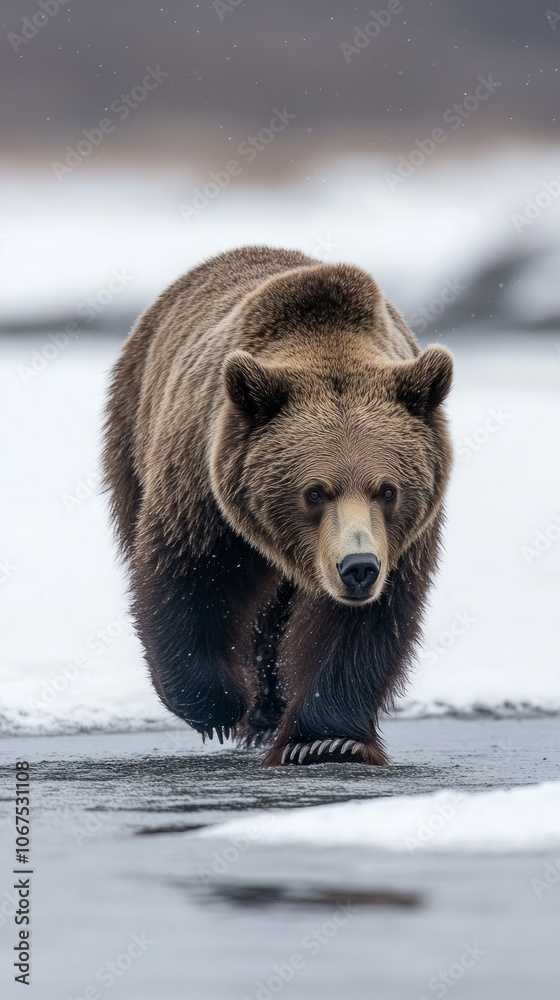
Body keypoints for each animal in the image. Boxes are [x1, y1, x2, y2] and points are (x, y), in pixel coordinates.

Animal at [103, 246, 453, 766]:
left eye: (387, 489)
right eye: (315, 491)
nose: (358, 567)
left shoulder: (400, 541)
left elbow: (363, 627)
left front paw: (327, 740)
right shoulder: (206, 494)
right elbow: (190, 581)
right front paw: (218, 705)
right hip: (133, 428)